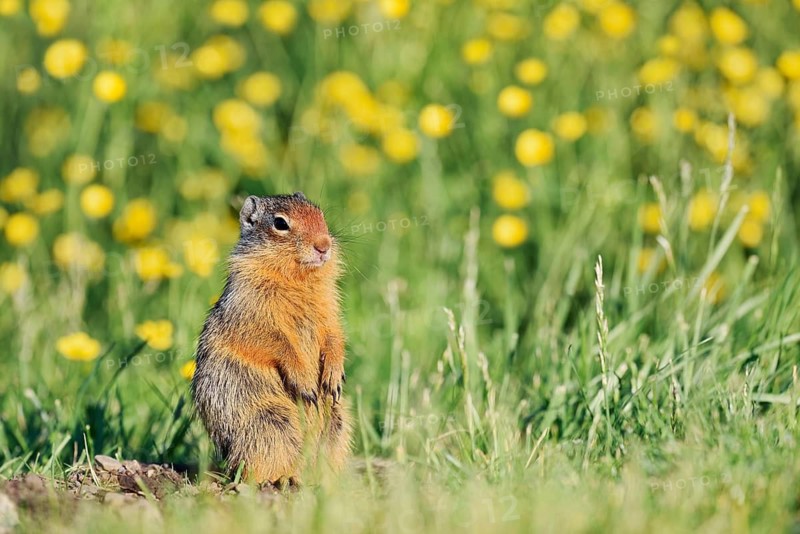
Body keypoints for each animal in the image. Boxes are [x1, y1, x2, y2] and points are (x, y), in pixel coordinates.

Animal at [192, 192, 351, 486]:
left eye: (320, 214)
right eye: (280, 223)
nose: (324, 246)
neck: (299, 279)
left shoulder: (329, 307)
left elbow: (334, 334)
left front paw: (333, 376)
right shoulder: (251, 310)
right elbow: (275, 341)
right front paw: (306, 384)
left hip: (337, 421)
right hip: (270, 423)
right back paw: (282, 480)